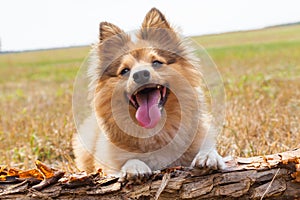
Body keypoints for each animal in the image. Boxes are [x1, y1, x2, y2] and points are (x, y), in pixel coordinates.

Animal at [71, 7, 224, 178]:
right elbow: (127, 161)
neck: (157, 131)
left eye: (156, 62)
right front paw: (134, 167)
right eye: (125, 71)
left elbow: (208, 150)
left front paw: (208, 156)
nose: (140, 75)